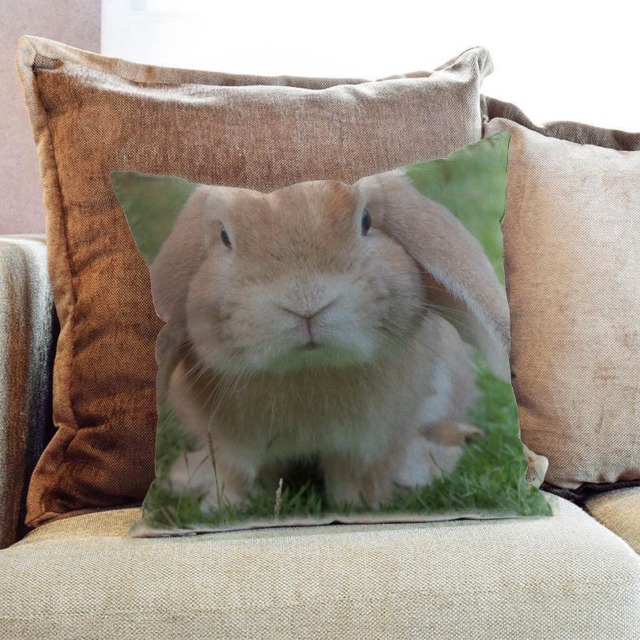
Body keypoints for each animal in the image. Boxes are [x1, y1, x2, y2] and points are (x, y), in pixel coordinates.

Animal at [148, 169, 512, 512]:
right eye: (225, 237)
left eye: (366, 221)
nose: (306, 304)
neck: (308, 369)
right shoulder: (233, 447)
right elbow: (238, 476)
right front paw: (220, 506)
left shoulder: (370, 442)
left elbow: (356, 477)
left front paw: (362, 506)